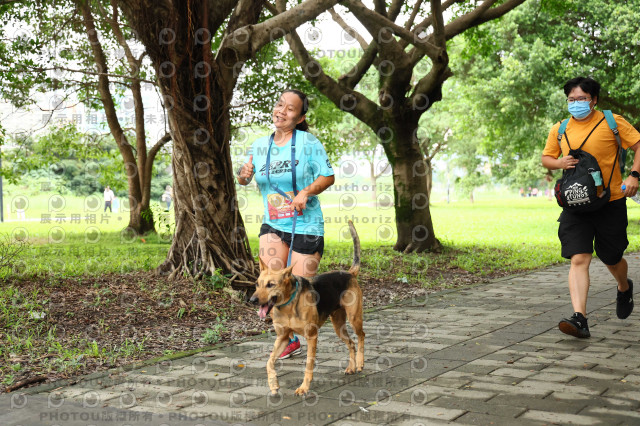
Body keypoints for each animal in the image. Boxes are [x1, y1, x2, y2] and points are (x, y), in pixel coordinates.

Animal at [248, 221, 362, 394]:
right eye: (257, 284)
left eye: (270, 285)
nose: (252, 300)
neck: (288, 305)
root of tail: (350, 273)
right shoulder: (282, 337)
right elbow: (269, 362)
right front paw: (273, 383)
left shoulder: (311, 336)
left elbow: (309, 364)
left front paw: (304, 387)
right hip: (338, 326)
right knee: (351, 343)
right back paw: (351, 367)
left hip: (354, 319)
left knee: (361, 337)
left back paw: (360, 363)